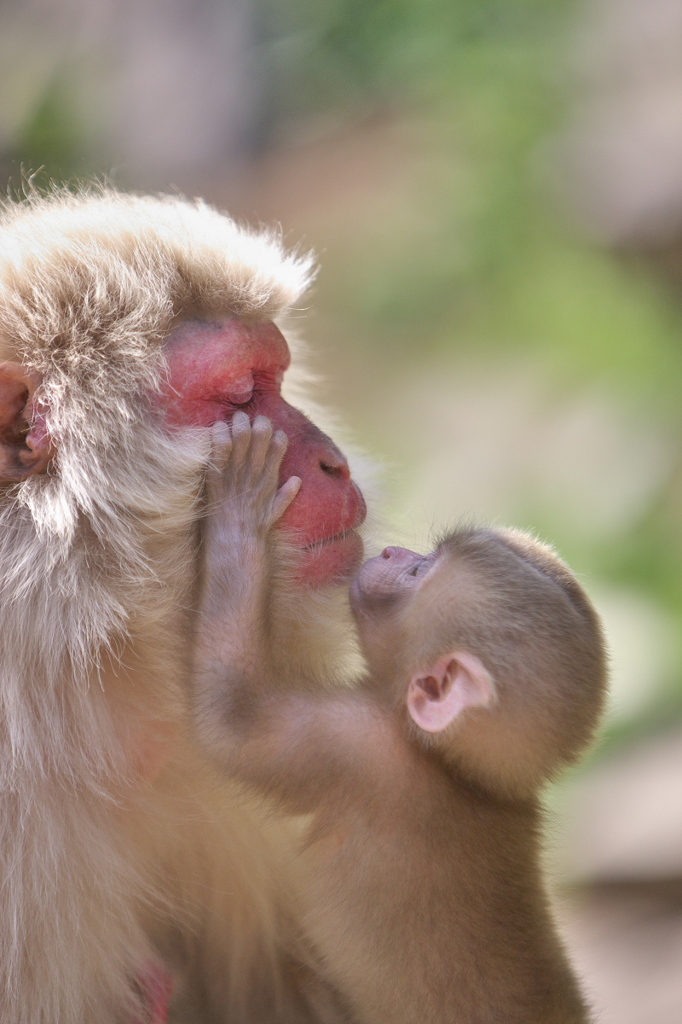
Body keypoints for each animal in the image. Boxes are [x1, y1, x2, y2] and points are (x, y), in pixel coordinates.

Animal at [193, 413, 602, 1024]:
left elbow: (232, 721)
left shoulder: (365, 752)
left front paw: (241, 513)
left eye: (418, 572)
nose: (390, 553)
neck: (460, 773)